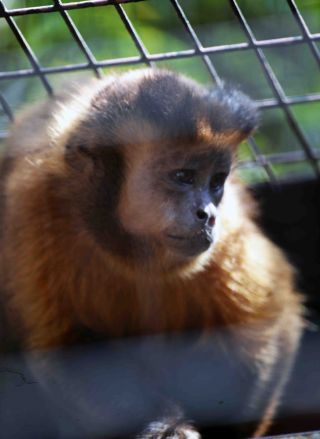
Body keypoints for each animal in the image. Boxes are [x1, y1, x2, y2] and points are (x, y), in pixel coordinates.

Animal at [0, 69, 304, 439]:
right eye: (183, 177)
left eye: (215, 182)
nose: (207, 214)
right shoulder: (33, 204)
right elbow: (63, 345)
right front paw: (165, 427)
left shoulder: (229, 224)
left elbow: (265, 321)